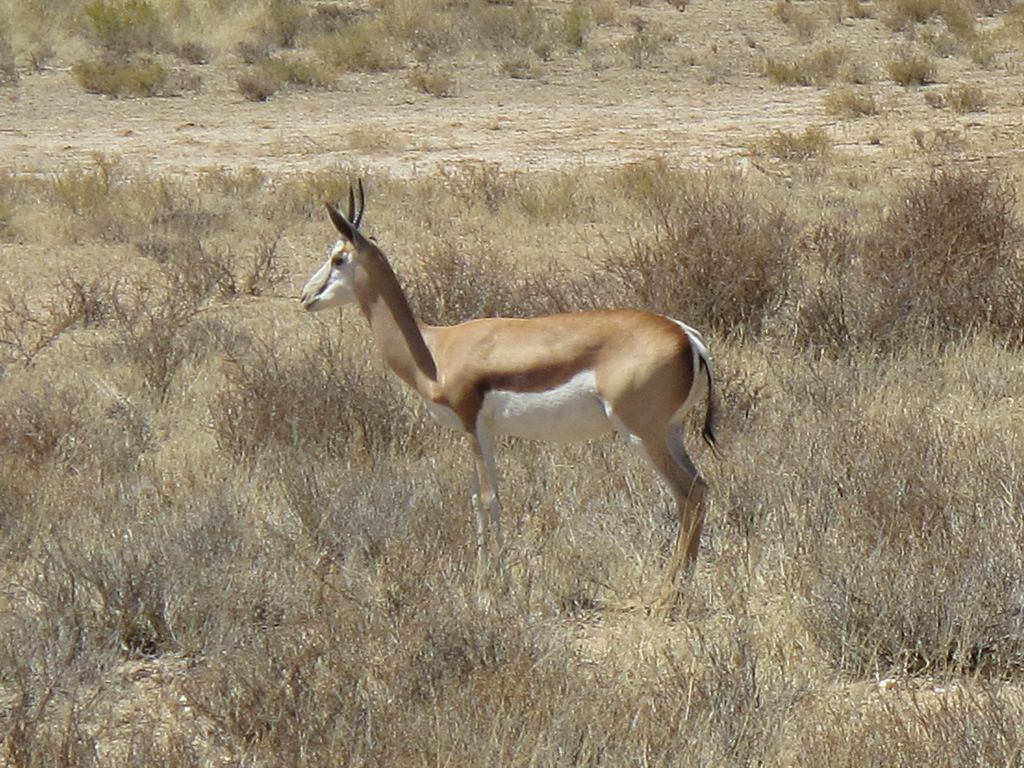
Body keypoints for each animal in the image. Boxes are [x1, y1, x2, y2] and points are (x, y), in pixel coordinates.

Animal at [300, 181, 718, 608]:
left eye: (338, 258)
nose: (305, 296)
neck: (434, 351)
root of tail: (686, 336)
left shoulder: (474, 427)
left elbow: (489, 499)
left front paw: (495, 587)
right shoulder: (474, 433)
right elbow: (477, 500)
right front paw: (482, 581)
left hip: (642, 434)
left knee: (688, 494)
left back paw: (668, 593)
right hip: (670, 431)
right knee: (700, 489)